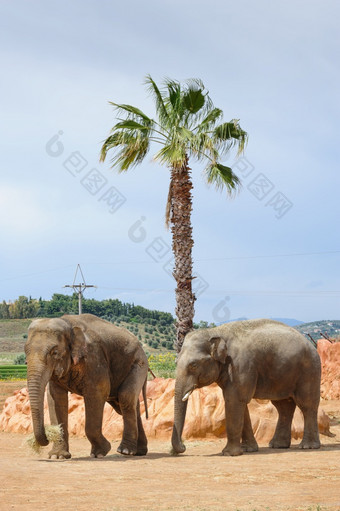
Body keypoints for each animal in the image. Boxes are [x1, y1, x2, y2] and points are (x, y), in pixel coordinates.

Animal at [173, 320, 322, 456]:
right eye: (176, 361)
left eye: (193, 365)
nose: (183, 448)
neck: (215, 331)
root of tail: (311, 345)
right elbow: (239, 403)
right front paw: (247, 450)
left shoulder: (240, 365)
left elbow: (234, 400)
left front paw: (229, 453)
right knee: (284, 406)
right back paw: (278, 445)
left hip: (309, 370)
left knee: (307, 404)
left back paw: (308, 446)